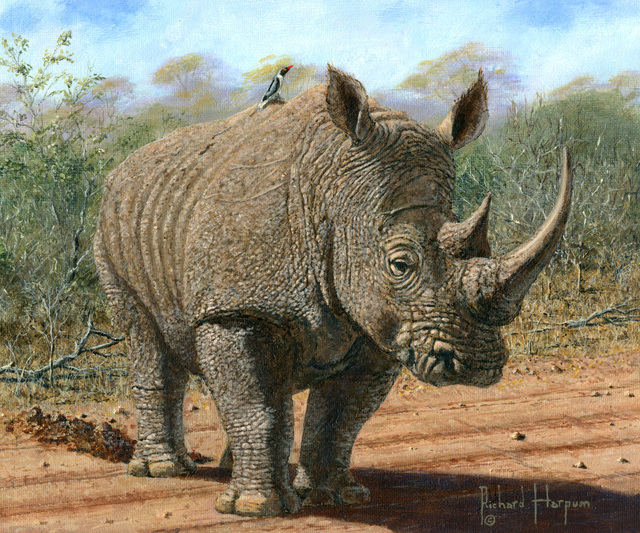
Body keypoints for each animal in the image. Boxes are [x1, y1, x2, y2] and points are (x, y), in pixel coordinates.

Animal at [94, 66, 572, 517]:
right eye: (400, 265)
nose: (476, 365)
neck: (334, 198)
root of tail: (123, 167)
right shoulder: (237, 307)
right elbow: (257, 407)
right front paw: (257, 509)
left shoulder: (380, 321)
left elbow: (341, 416)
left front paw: (335, 498)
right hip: (113, 226)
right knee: (147, 338)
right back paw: (163, 471)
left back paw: (231, 467)